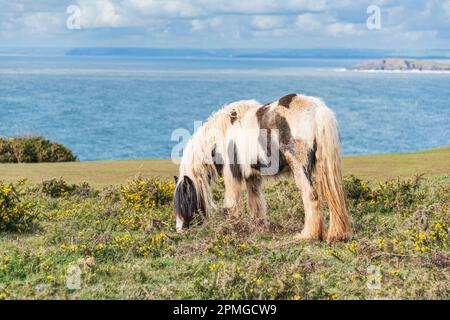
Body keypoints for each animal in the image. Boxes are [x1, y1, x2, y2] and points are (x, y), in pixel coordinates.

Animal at [172, 92, 352, 242]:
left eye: (185, 202)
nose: (180, 230)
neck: (222, 134)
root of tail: (317, 109)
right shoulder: (252, 176)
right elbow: (256, 203)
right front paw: (258, 229)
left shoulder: (232, 174)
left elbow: (231, 205)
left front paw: (231, 230)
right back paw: (337, 234)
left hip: (300, 168)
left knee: (310, 196)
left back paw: (308, 235)